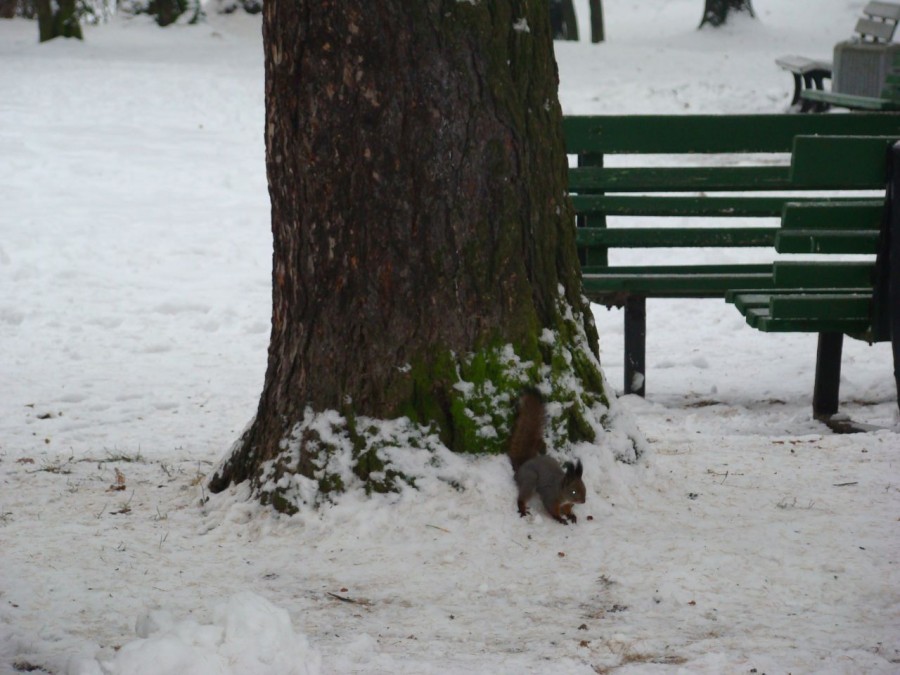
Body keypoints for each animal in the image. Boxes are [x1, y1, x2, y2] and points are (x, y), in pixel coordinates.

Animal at [510, 388, 588, 524]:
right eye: (573, 491)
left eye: (584, 488)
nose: (583, 501)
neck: (561, 490)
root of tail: (523, 464)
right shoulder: (550, 497)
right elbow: (551, 509)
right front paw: (559, 518)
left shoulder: (567, 504)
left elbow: (567, 509)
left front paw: (571, 515)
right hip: (530, 479)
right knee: (522, 497)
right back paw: (522, 509)